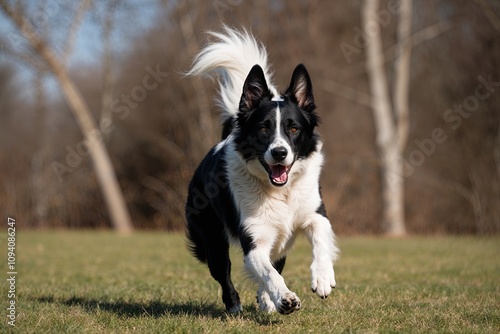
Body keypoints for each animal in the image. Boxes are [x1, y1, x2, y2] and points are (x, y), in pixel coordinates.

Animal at [185, 27, 340, 314]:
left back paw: (266, 301)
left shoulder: (314, 212)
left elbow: (320, 237)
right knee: (224, 272)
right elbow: (269, 274)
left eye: (294, 128)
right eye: (263, 129)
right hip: (211, 240)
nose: (279, 153)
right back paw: (235, 305)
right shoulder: (254, 241)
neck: (281, 193)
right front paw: (285, 298)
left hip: (280, 243)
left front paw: (323, 278)